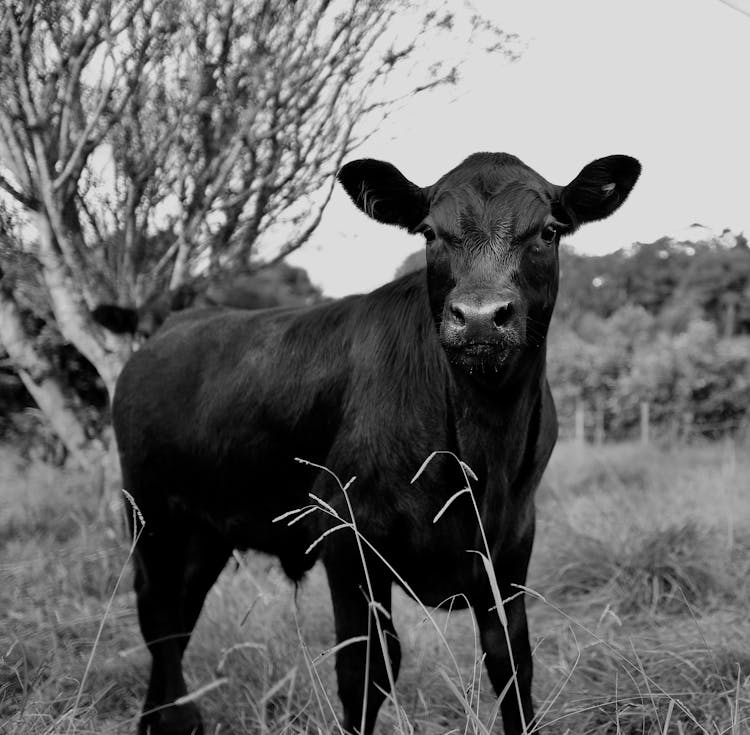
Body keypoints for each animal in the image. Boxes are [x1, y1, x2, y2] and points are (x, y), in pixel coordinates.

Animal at [114, 152, 644, 732]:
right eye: (431, 233)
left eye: (547, 232)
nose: (480, 317)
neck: (481, 456)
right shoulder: (347, 539)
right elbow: (366, 669)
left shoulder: (511, 550)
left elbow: (512, 665)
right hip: (153, 519)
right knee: (159, 619)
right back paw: (176, 717)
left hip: (206, 531)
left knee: (178, 620)